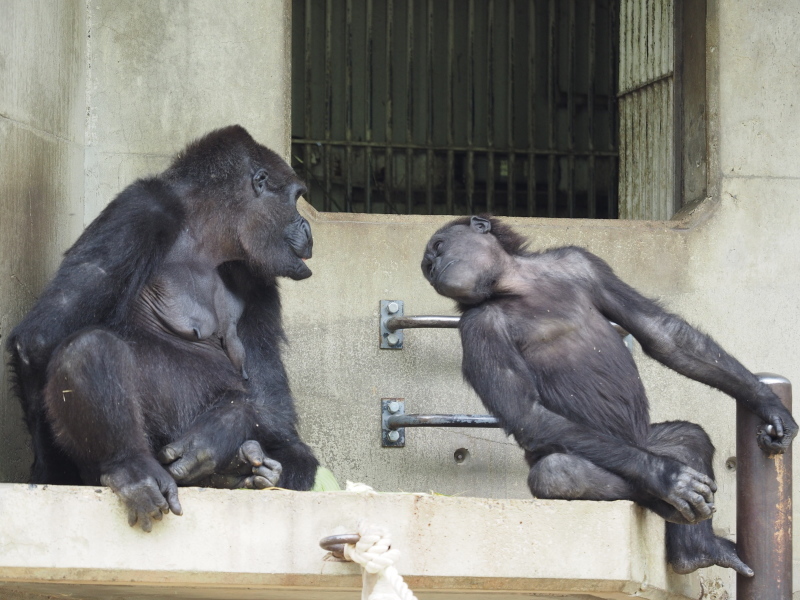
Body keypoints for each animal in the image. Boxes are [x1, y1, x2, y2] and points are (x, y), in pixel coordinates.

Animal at [7, 126, 318, 528]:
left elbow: (270, 401)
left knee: (293, 448)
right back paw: (131, 467)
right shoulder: (141, 208)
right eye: (296, 199)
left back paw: (248, 469)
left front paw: (220, 430)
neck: (205, 231)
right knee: (89, 347)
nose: (307, 226)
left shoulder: (258, 276)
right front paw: (50, 472)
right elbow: (41, 338)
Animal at [422, 216, 796, 576]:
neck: (514, 286)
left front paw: (768, 404)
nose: (433, 267)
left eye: (438, 248)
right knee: (559, 472)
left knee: (688, 437)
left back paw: (697, 550)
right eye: (429, 263)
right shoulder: (478, 328)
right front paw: (667, 478)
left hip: (644, 442)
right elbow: (527, 414)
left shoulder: (583, 264)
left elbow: (662, 333)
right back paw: (667, 498)